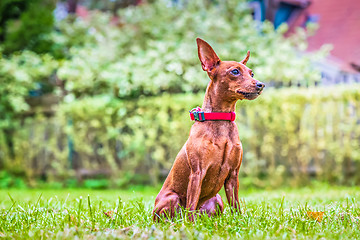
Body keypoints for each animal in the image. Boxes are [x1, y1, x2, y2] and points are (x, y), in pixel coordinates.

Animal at [152, 38, 264, 221]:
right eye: (235, 71)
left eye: (251, 73)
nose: (261, 85)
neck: (221, 120)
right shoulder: (197, 172)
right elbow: (191, 204)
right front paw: (190, 225)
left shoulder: (233, 175)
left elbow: (236, 205)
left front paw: (239, 221)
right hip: (172, 198)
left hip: (217, 199)